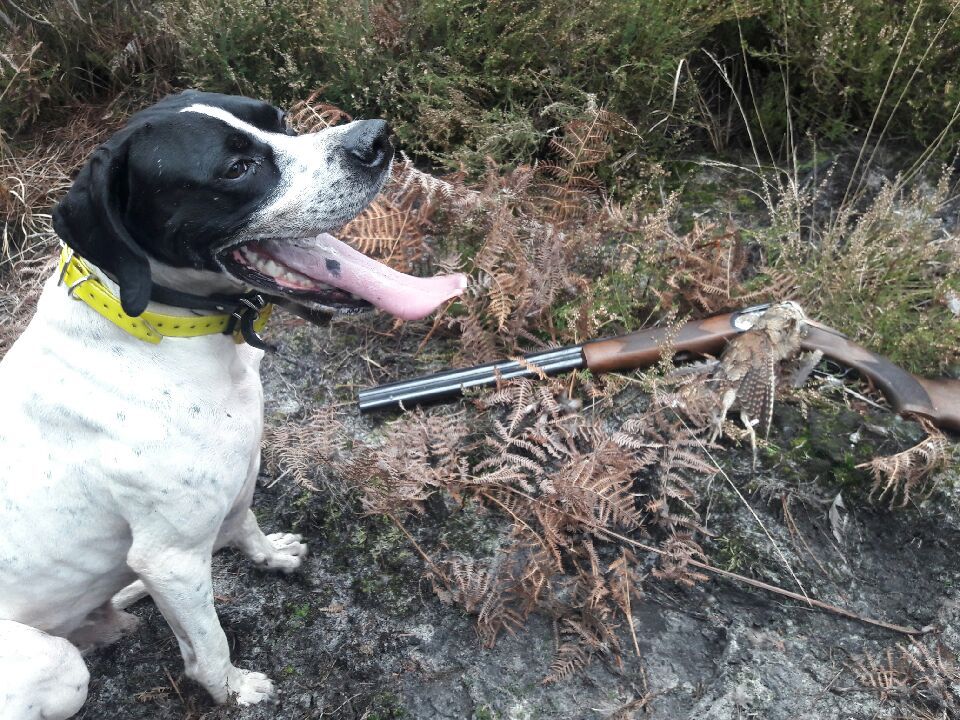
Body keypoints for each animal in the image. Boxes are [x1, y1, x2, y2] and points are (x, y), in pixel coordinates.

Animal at [0, 88, 464, 716]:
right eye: (236, 169)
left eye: (280, 121)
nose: (375, 137)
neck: (162, 327)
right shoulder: (171, 558)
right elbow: (210, 645)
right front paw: (235, 690)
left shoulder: (241, 472)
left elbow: (246, 524)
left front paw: (271, 556)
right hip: (57, 667)